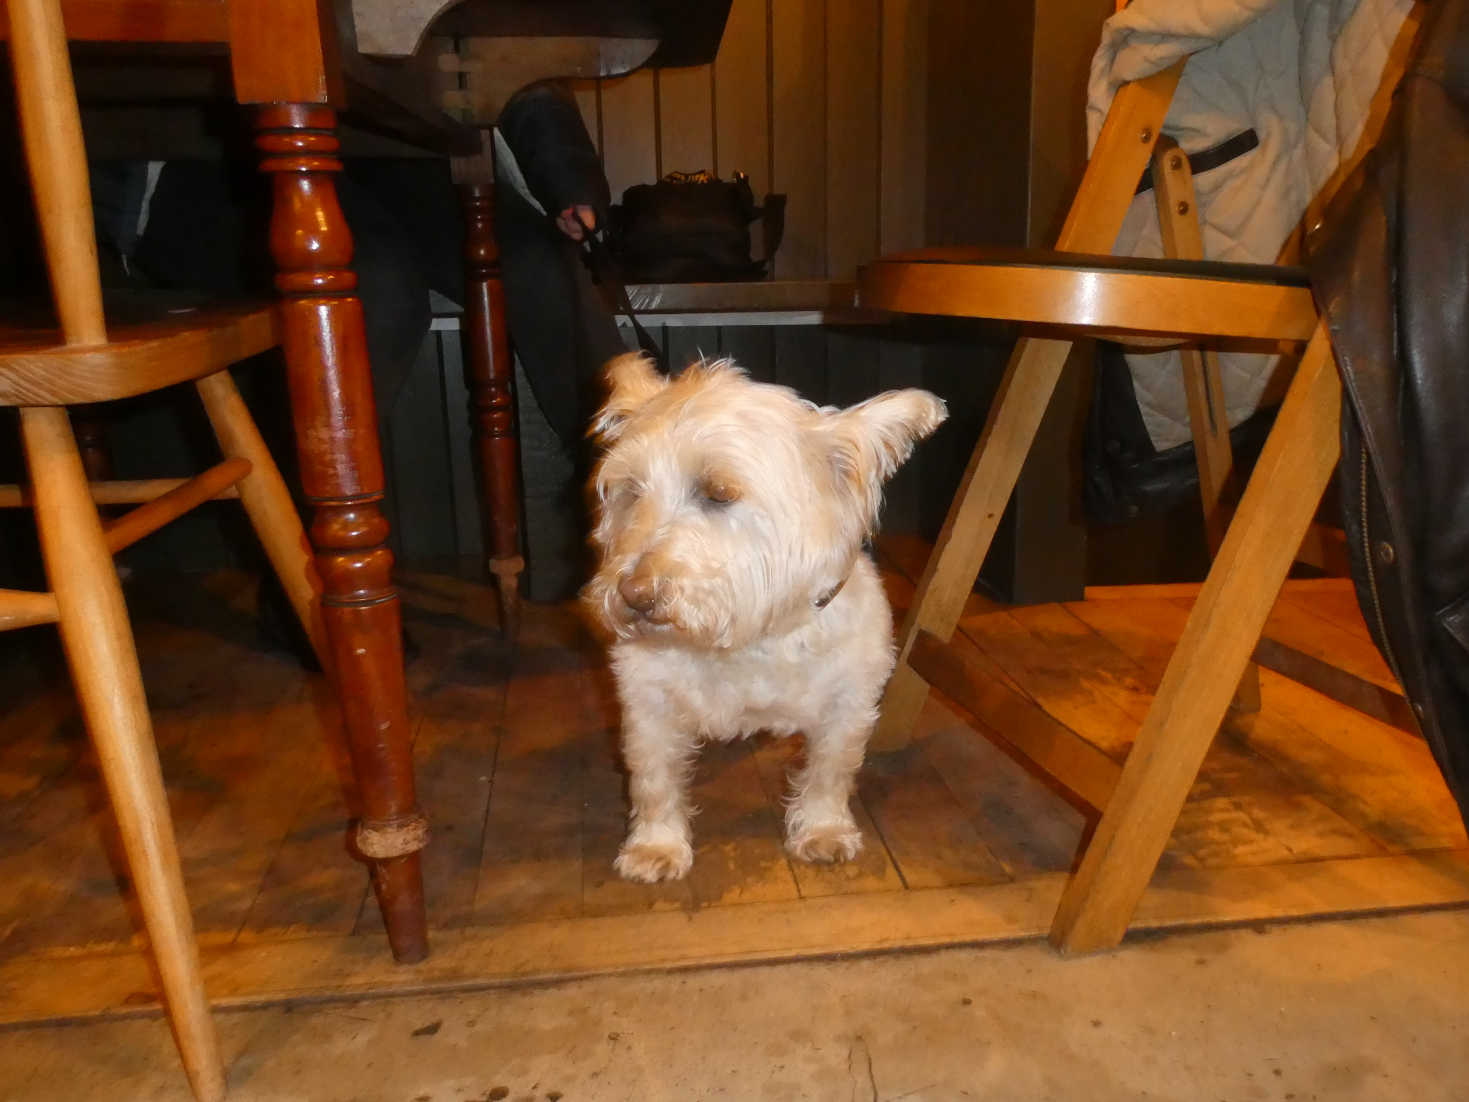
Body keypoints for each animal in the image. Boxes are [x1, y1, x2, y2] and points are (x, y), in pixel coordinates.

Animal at [578, 355, 946, 887]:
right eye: (631, 492)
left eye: (718, 493)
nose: (633, 596)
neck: (746, 639)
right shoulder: (649, 705)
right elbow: (654, 779)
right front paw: (655, 846)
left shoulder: (848, 704)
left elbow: (830, 771)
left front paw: (823, 831)